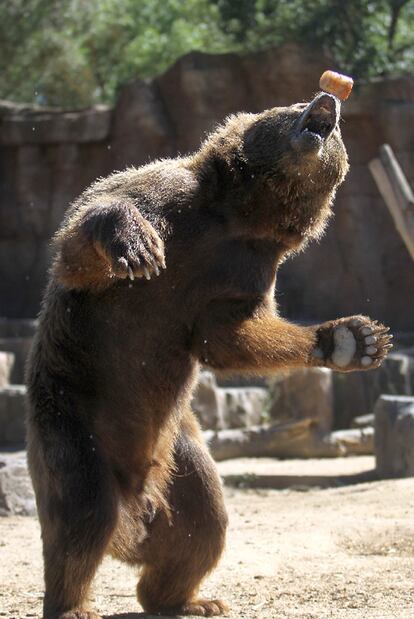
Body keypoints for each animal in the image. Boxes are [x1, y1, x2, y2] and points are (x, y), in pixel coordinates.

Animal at [25, 93, 392, 619]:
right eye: (294, 102)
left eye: (337, 129)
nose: (328, 102)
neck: (235, 217)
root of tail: (138, 504)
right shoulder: (168, 202)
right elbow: (83, 244)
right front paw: (135, 244)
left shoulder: (243, 268)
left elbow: (226, 336)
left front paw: (353, 339)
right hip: (72, 414)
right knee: (83, 511)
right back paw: (74, 604)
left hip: (180, 449)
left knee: (204, 520)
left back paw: (188, 599)